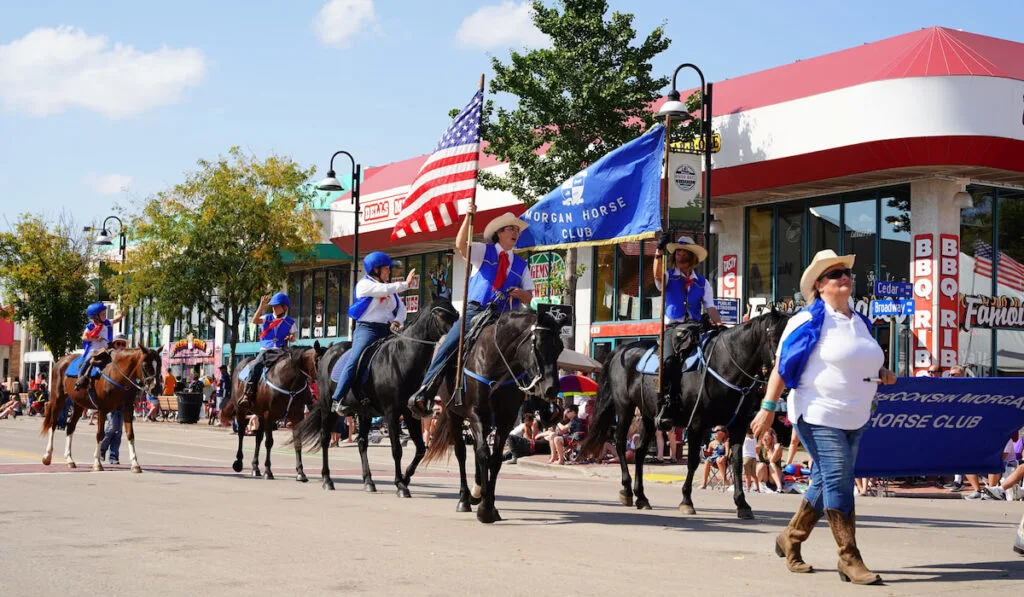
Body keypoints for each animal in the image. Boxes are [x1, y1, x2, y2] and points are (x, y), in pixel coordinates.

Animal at [222, 346, 321, 481]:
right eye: (318, 361)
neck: (288, 382)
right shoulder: (270, 415)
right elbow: (269, 442)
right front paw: (268, 471)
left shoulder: (297, 417)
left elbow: (297, 441)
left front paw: (301, 472)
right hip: (241, 410)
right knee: (241, 433)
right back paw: (238, 463)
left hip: (259, 414)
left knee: (258, 438)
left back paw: (255, 468)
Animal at [294, 296, 458, 497]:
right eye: (441, 313)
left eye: (456, 313)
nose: (457, 339)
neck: (402, 359)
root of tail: (328, 352)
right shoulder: (392, 413)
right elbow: (396, 449)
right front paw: (400, 485)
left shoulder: (410, 413)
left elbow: (420, 448)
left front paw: (406, 477)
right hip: (327, 408)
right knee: (325, 439)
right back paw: (327, 479)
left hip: (364, 412)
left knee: (362, 443)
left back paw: (369, 481)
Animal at [425, 311, 569, 524]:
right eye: (538, 345)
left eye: (559, 347)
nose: (551, 389)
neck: (497, 364)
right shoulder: (476, 414)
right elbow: (483, 455)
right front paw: (484, 509)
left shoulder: (505, 420)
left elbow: (494, 459)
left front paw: (489, 505)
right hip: (454, 414)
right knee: (462, 452)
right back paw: (464, 499)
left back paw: (476, 493)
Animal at [581, 311, 786, 520]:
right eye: (774, 337)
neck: (724, 366)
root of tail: (622, 349)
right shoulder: (697, 424)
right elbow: (693, 461)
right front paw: (687, 501)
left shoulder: (739, 426)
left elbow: (737, 462)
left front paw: (742, 503)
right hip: (625, 408)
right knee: (621, 444)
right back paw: (627, 491)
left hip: (648, 416)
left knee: (639, 451)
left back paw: (642, 497)